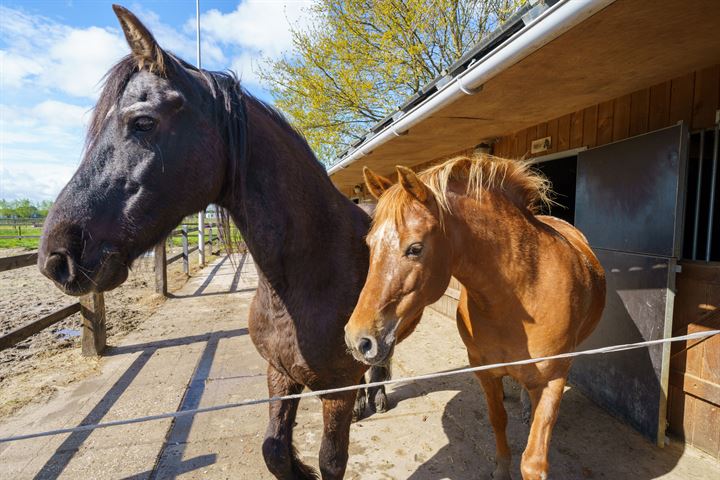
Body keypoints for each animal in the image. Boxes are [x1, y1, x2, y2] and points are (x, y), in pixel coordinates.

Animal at [37, 4, 390, 480]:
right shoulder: (279, 374)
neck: (309, 276)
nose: (55, 256)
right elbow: (274, 450)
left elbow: (331, 462)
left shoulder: (336, 388)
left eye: (143, 122)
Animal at [346, 155, 604, 480]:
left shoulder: (553, 380)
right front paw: (501, 469)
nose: (357, 339)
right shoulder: (485, 372)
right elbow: (497, 420)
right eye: (369, 245)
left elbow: (533, 461)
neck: (522, 294)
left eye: (415, 248)